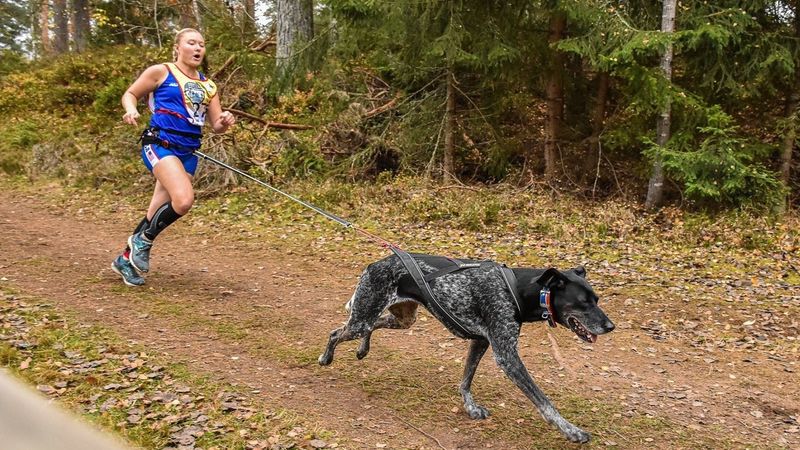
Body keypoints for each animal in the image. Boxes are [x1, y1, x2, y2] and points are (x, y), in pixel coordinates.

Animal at [318, 253, 612, 442]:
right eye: (584, 302)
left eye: (597, 299)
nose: (611, 326)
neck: (517, 290)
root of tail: (375, 264)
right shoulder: (507, 356)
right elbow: (544, 401)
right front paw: (570, 430)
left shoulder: (480, 342)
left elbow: (465, 380)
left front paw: (470, 408)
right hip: (362, 319)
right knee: (336, 332)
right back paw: (325, 357)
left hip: (401, 320)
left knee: (368, 327)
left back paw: (362, 349)